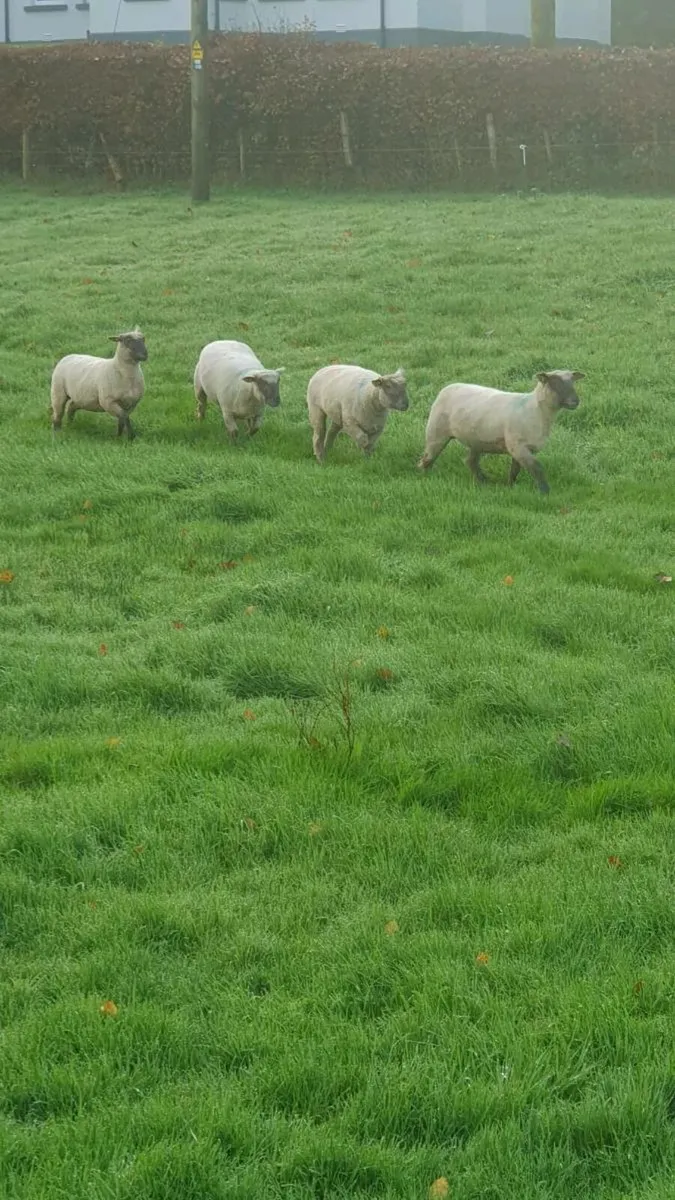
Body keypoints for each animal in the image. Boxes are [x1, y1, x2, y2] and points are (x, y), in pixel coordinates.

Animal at [417, 370, 584, 494]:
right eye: (554, 383)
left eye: (573, 382)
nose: (575, 401)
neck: (536, 410)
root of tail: (447, 387)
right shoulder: (517, 446)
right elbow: (536, 467)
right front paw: (545, 492)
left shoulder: (520, 448)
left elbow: (515, 469)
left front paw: (510, 486)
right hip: (436, 432)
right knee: (427, 458)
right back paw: (425, 476)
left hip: (476, 440)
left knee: (470, 461)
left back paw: (483, 481)